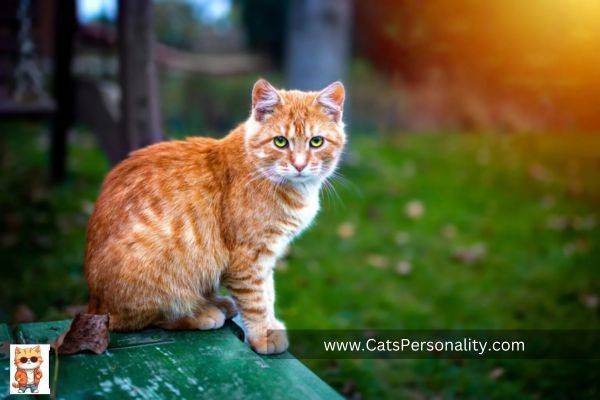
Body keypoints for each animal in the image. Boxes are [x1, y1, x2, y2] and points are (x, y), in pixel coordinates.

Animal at [85, 78, 346, 354]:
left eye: (316, 142)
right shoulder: (248, 257)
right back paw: (201, 313)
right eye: (280, 142)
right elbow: (256, 299)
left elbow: (268, 293)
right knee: (147, 317)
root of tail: (94, 303)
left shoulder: (266, 256)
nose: (299, 165)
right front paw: (263, 334)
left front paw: (270, 325)